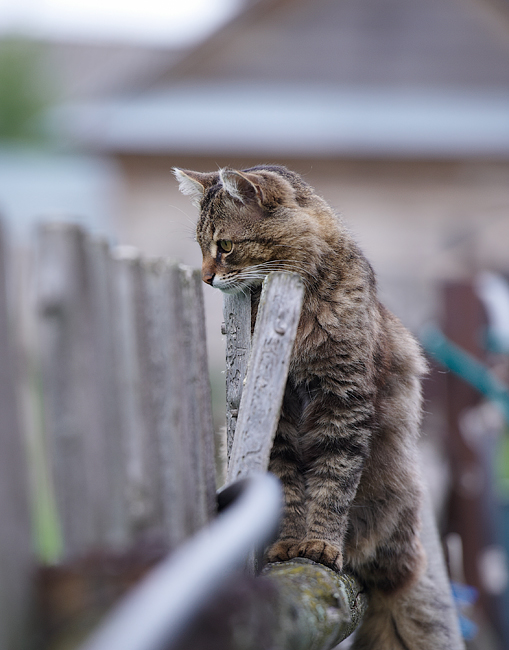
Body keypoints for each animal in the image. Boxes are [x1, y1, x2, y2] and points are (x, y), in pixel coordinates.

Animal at [176, 165, 464, 644]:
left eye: (225, 246)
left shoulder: (343, 406)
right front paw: (290, 545)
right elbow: (290, 491)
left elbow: (331, 486)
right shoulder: (280, 422)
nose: (205, 277)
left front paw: (322, 545)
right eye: (201, 247)